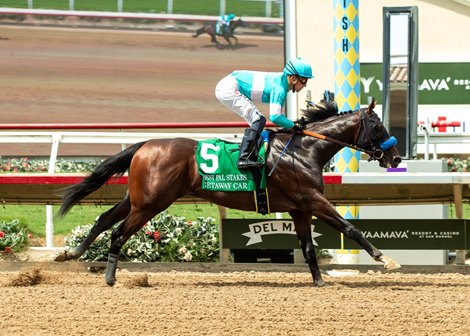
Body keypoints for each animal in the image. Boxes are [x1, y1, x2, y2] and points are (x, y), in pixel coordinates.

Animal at [54, 98, 400, 288]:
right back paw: (110, 277)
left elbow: (308, 248)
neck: (304, 150)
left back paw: (71, 253)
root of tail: (145, 144)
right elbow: (350, 228)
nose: (395, 158)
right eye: (378, 127)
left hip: (138, 199)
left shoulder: (299, 208)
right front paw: (385, 259)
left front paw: (318, 281)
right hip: (151, 204)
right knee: (117, 233)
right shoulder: (314, 201)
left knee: (103, 220)